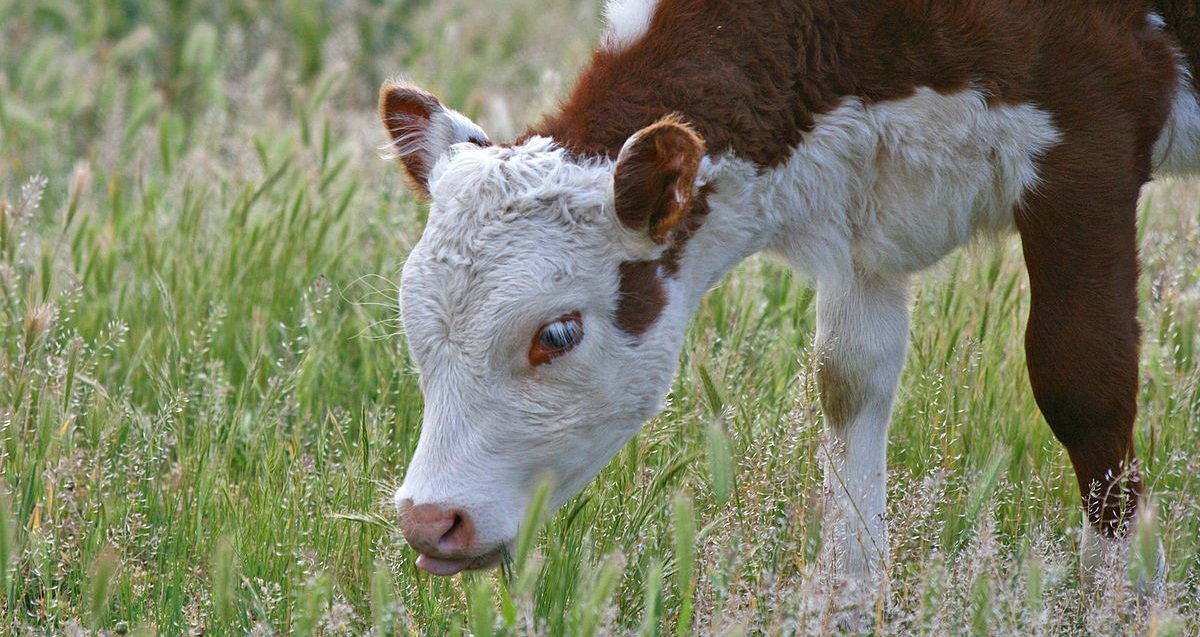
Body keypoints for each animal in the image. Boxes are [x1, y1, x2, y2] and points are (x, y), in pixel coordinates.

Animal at [376, 1, 1200, 583]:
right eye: (414, 330)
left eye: (557, 333)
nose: (429, 521)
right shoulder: (868, 201)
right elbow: (849, 380)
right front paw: (852, 590)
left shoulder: (1090, 131)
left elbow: (1082, 379)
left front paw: (1124, 593)